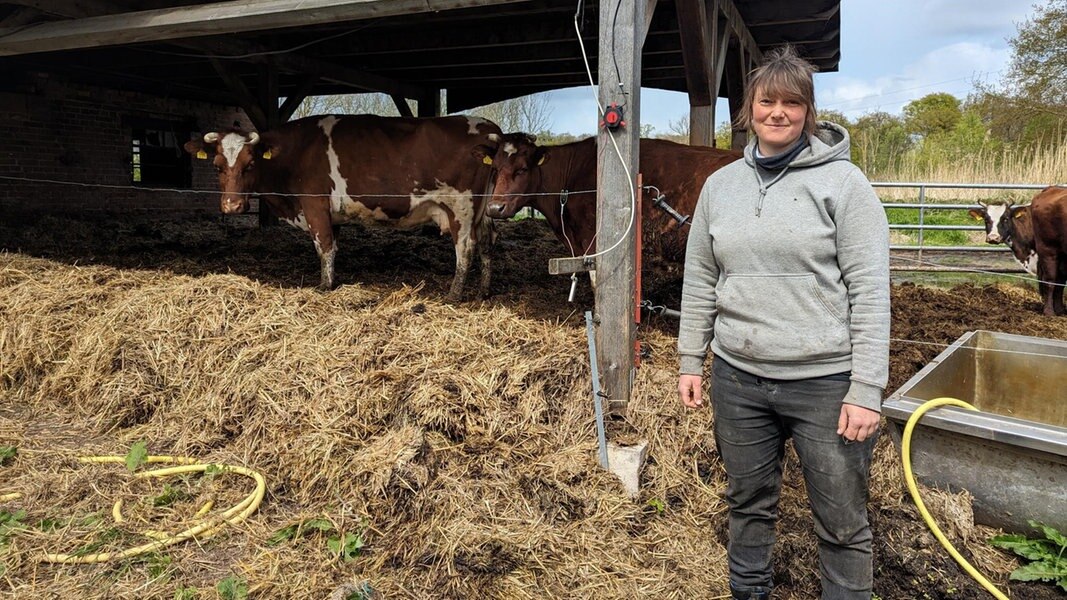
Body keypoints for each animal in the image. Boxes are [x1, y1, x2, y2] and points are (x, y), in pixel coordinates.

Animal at [185, 113, 501, 298]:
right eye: (216, 166)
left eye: (250, 164)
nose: (232, 206)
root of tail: (488, 125)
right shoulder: (329, 214)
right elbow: (333, 246)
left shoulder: (314, 205)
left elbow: (324, 246)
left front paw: (325, 287)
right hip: (481, 211)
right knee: (487, 244)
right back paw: (484, 291)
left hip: (462, 207)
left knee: (466, 248)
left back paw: (454, 295)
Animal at [1024, 185, 1067, 318]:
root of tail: (1052, 189)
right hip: (1048, 249)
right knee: (1050, 280)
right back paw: (1049, 311)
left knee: (1060, 281)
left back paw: (1060, 310)